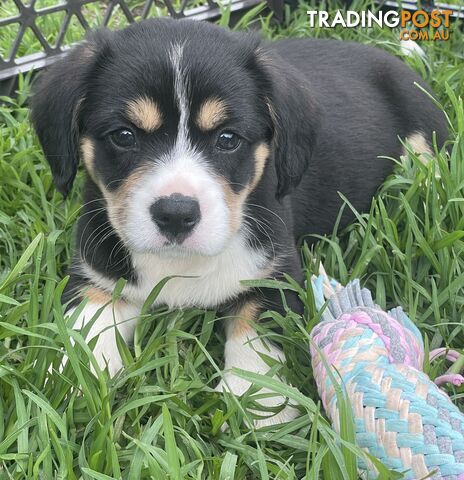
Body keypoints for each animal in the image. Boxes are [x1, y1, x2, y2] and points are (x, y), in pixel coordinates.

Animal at [30, 16, 448, 426]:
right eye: (123, 136)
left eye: (228, 139)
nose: (176, 214)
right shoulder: (97, 275)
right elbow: (85, 326)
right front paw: (68, 380)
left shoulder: (275, 273)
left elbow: (255, 330)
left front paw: (257, 400)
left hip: (423, 141)